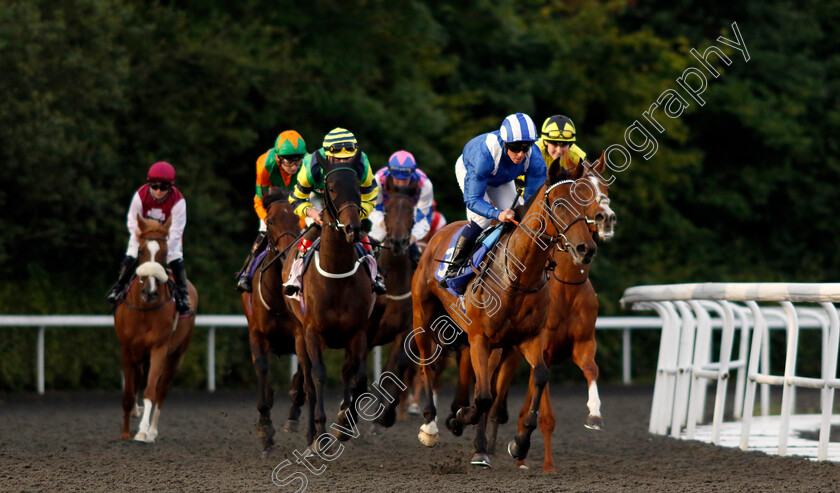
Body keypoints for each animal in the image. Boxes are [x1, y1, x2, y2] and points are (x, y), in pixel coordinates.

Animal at [114, 215, 198, 442]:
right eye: (141, 250)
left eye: (165, 252)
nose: (150, 292)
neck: (144, 311)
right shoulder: (126, 349)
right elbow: (129, 392)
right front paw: (125, 432)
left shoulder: (159, 348)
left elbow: (151, 390)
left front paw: (142, 432)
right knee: (138, 379)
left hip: (177, 353)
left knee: (162, 390)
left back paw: (151, 431)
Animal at [282, 154, 374, 450]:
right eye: (331, 188)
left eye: (357, 187)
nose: (353, 228)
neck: (336, 277)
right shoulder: (312, 332)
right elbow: (319, 375)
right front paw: (320, 431)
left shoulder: (358, 332)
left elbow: (356, 377)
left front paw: (345, 422)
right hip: (298, 335)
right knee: (309, 380)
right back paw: (311, 432)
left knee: (347, 373)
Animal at [410, 160, 592, 468]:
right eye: (558, 204)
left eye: (586, 204)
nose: (586, 249)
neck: (517, 276)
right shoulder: (481, 340)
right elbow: (483, 397)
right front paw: (462, 421)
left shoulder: (529, 339)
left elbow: (539, 377)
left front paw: (519, 444)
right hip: (423, 316)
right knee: (427, 366)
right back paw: (430, 426)